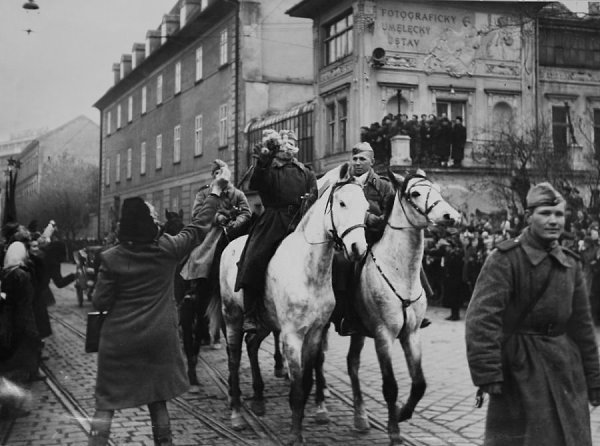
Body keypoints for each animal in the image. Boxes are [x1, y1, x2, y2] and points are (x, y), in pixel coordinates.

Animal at [217, 165, 369, 441]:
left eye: (366, 206)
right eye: (342, 203)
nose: (357, 249)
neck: (309, 268)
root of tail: (230, 244)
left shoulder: (316, 332)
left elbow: (307, 381)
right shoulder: (291, 335)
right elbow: (298, 384)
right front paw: (296, 435)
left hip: (265, 321)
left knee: (252, 344)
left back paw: (259, 399)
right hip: (232, 316)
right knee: (234, 358)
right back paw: (236, 413)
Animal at [345, 171, 461, 445]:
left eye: (437, 188)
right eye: (415, 193)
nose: (451, 216)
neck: (399, 272)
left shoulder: (412, 334)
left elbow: (419, 384)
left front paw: (401, 413)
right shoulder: (383, 335)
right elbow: (390, 387)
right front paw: (394, 431)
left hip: (358, 332)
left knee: (352, 363)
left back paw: (360, 418)